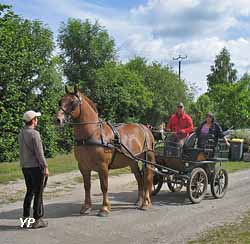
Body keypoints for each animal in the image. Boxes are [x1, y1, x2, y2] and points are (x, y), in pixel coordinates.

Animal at [56, 85, 155, 216]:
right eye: (60, 101)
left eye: (73, 102)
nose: (58, 120)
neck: (92, 134)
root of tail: (145, 128)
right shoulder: (83, 167)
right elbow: (87, 186)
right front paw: (86, 207)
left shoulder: (103, 166)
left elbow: (104, 186)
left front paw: (105, 208)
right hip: (132, 161)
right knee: (139, 178)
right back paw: (139, 200)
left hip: (148, 159)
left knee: (147, 177)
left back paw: (145, 203)